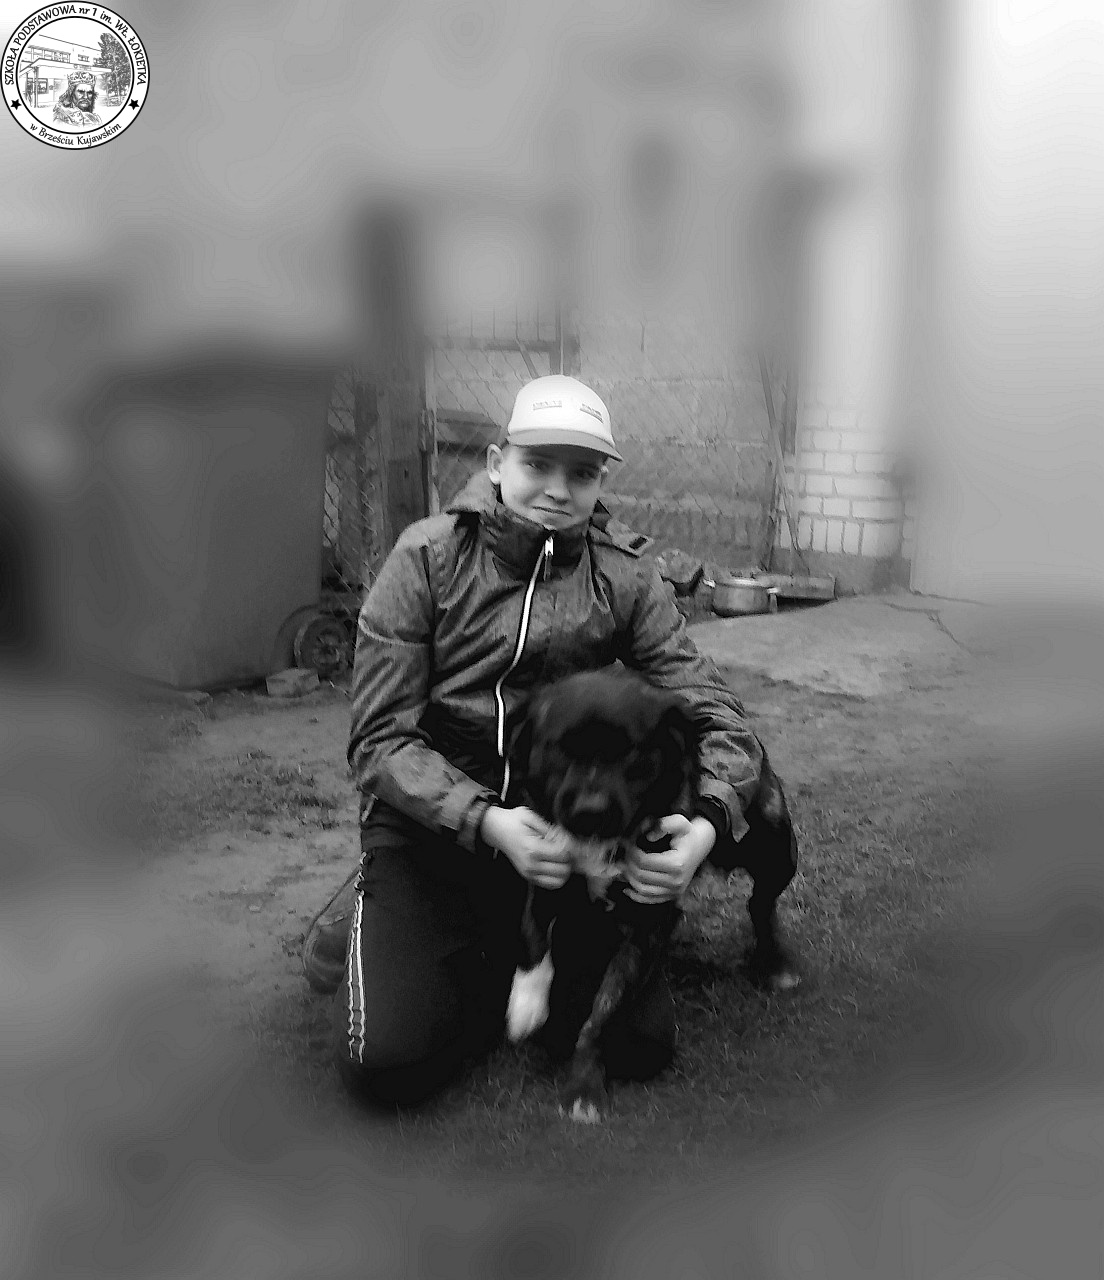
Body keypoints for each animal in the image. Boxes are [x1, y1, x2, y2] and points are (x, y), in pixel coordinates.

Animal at [503, 668, 800, 1122]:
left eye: (630, 753)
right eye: (558, 749)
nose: (590, 812)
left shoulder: (646, 920)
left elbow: (601, 1015)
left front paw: (584, 1088)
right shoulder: (544, 868)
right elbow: (532, 940)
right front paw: (526, 1006)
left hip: (776, 846)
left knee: (761, 903)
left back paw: (775, 963)